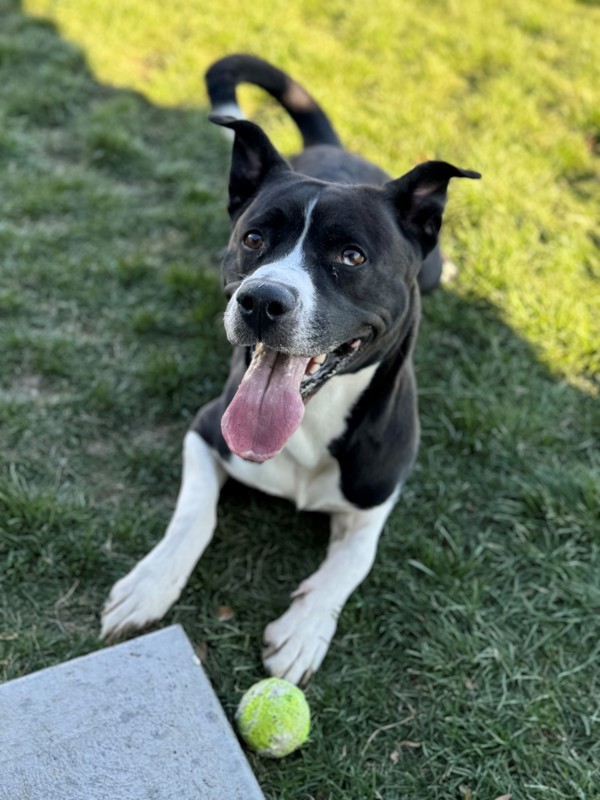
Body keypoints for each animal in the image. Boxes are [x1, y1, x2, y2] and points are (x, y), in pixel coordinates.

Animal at [101, 54, 480, 680]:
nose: (260, 301)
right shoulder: (204, 432)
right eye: (254, 239)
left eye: (351, 256)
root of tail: (332, 146)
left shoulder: (378, 492)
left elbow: (352, 563)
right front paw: (150, 583)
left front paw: (303, 631)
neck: (313, 415)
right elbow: (194, 515)